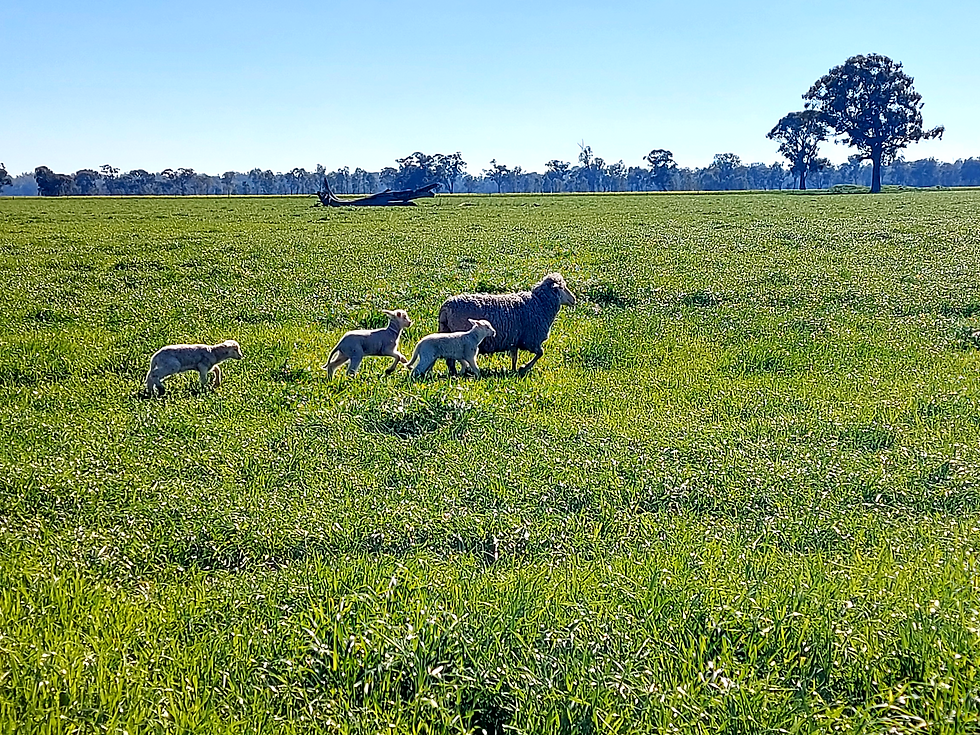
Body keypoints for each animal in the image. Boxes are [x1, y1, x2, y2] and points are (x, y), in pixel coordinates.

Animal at [437, 272, 576, 376]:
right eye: (562, 287)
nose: (574, 299)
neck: (539, 304)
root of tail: (446, 307)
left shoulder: (515, 339)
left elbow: (514, 357)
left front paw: (514, 371)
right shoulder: (530, 340)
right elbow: (540, 353)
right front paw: (523, 368)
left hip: (445, 331)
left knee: (449, 361)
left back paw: (455, 373)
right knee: (452, 359)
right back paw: (457, 374)